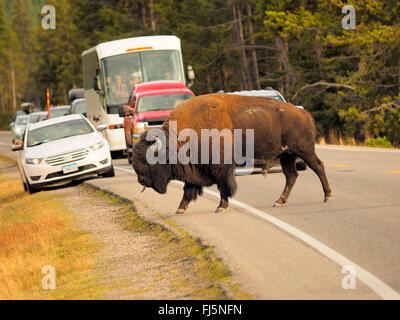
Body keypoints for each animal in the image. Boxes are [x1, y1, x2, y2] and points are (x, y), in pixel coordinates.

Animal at [132, 93, 332, 212]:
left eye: (148, 160)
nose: (141, 180)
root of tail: (304, 113)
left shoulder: (220, 168)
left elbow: (223, 187)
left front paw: (221, 206)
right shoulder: (195, 169)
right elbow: (189, 189)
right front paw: (180, 209)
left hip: (303, 150)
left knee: (318, 167)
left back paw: (327, 196)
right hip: (286, 156)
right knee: (291, 176)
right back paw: (279, 201)